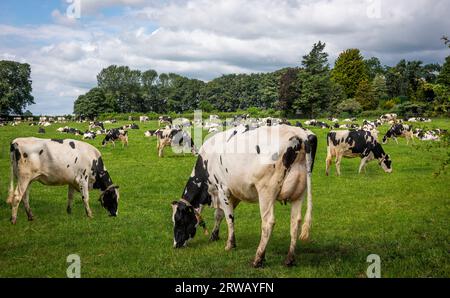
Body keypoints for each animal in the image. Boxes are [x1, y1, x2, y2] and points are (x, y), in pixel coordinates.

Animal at [171, 124, 316, 268]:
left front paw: (230, 244)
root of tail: (300, 133)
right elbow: (219, 215)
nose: (176, 245)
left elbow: (229, 217)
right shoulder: (234, 192)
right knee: (295, 222)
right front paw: (214, 235)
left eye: (179, 220)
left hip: (266, 191)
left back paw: (258, 259)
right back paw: (289, 259)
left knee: (268, 222)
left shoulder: (222, 189)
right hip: (299, 194)